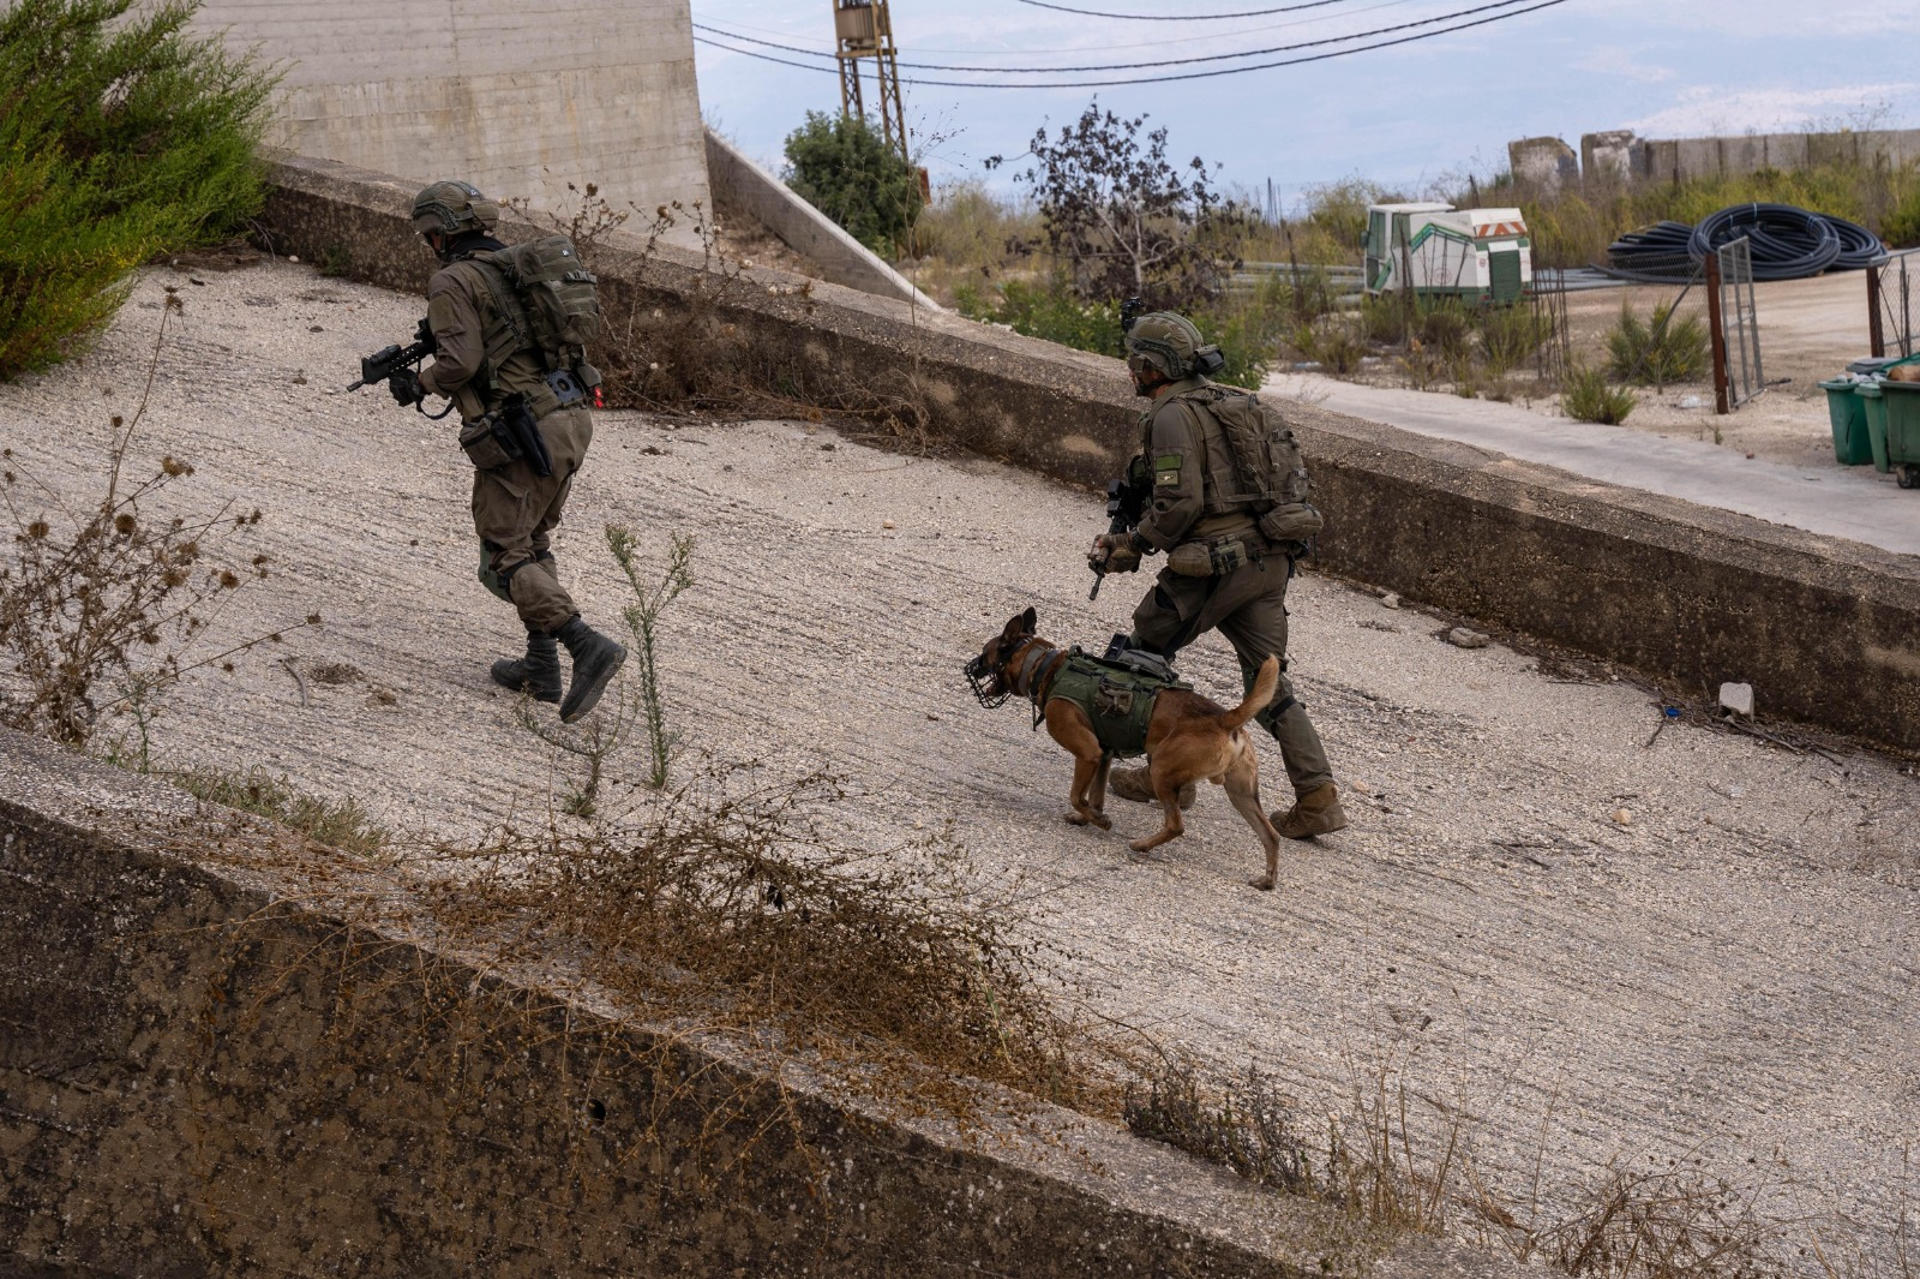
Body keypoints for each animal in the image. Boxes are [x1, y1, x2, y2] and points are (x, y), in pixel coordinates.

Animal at [960, 606, 1290, 887]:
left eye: (985, 653)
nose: (970, 669)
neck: (1045, 666)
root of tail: (1225, 718)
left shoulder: (1088, 753)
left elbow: (1077, 796)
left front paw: (1099, 821)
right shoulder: (1103, 756)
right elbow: (1094, 796)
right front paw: (1087, 818)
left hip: (1161, 771)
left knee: (1176, 825)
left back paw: (1142, 844)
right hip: (1241, 795)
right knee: (1271, 835)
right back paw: (1267, 879)